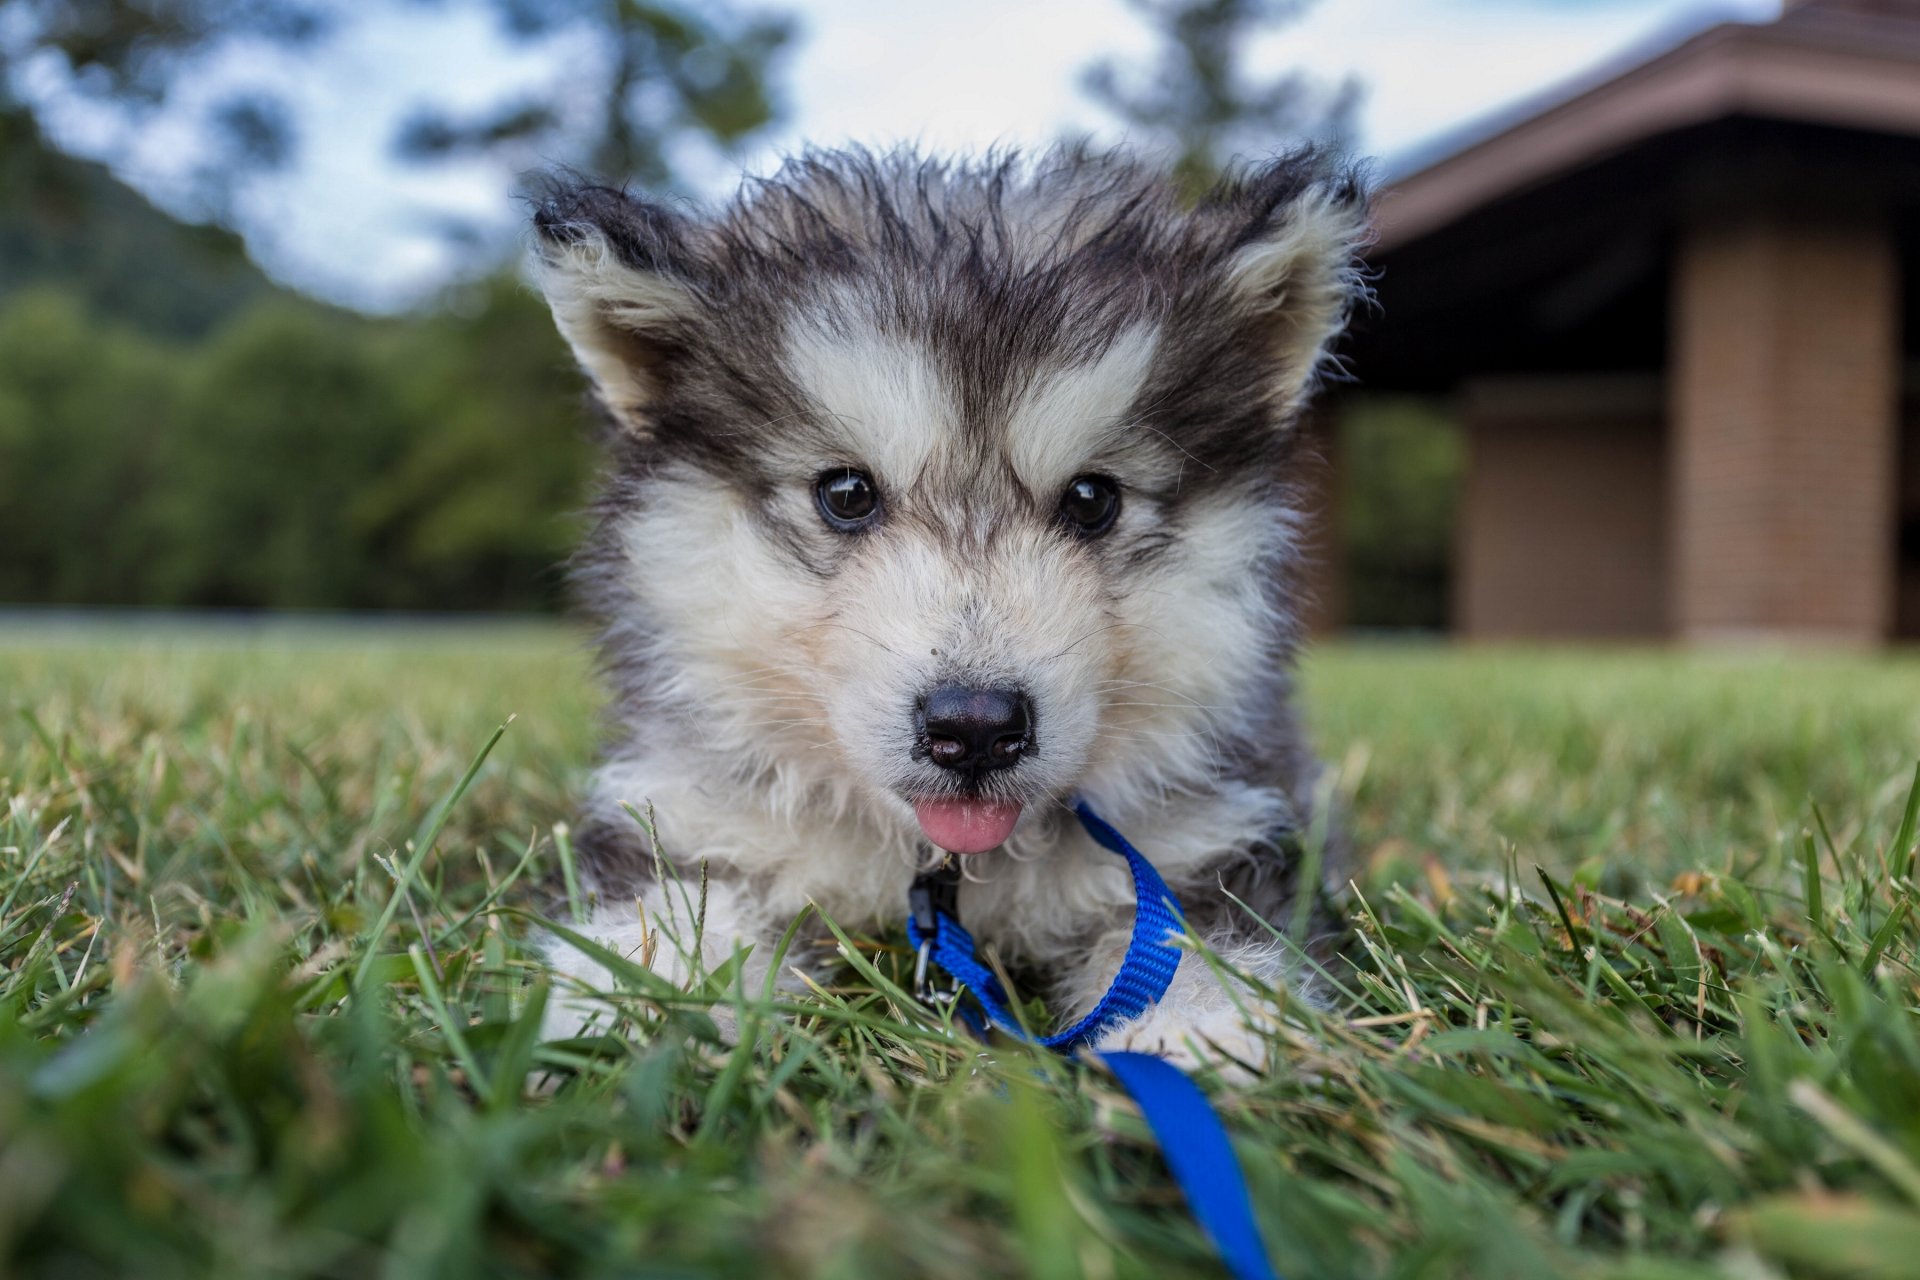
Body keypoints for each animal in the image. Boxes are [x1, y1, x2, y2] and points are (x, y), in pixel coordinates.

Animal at [526, 147, 1367, 1074]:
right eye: (846, 494)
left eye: (1092, 498)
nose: (975, 727)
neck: (945, 871)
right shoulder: (693, 817)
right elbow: (675, 903)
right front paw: (644, 995)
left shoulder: (1216, 830)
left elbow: (1192, 930)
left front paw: (1199, 1028)